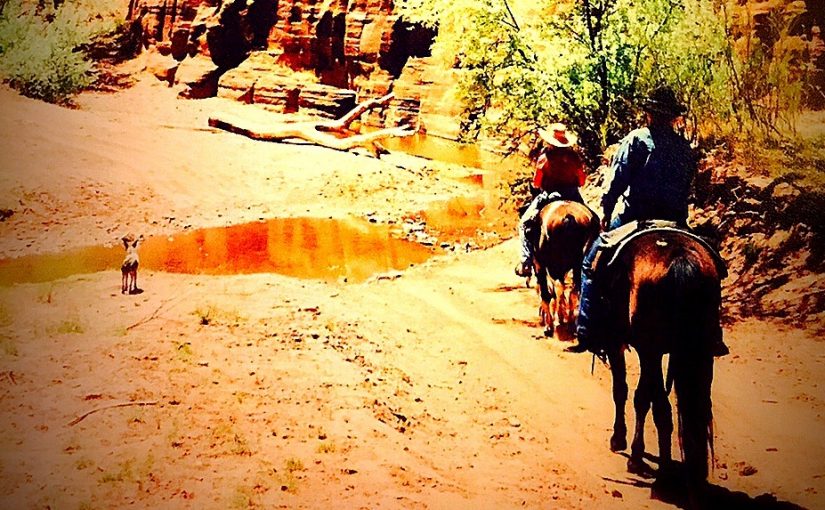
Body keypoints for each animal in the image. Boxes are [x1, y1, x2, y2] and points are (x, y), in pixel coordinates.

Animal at [536, 200, 600, 338]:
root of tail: (569, 217)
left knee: (557, 289)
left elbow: (547, 293)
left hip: (554, 265)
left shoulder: (541, 266)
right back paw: (572, 322)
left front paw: (550, 323)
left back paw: (554, 322)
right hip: (580, 263)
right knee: (576, 290)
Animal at [600, 231, 720, 494]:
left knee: (660, 409)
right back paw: (694, 475)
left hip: (651, 350)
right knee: (697, 409)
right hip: (701, 351)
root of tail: (680, 259)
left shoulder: (617, 341)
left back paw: (663, 474)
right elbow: (643, 397)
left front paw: (621, 441)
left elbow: (623, 390)